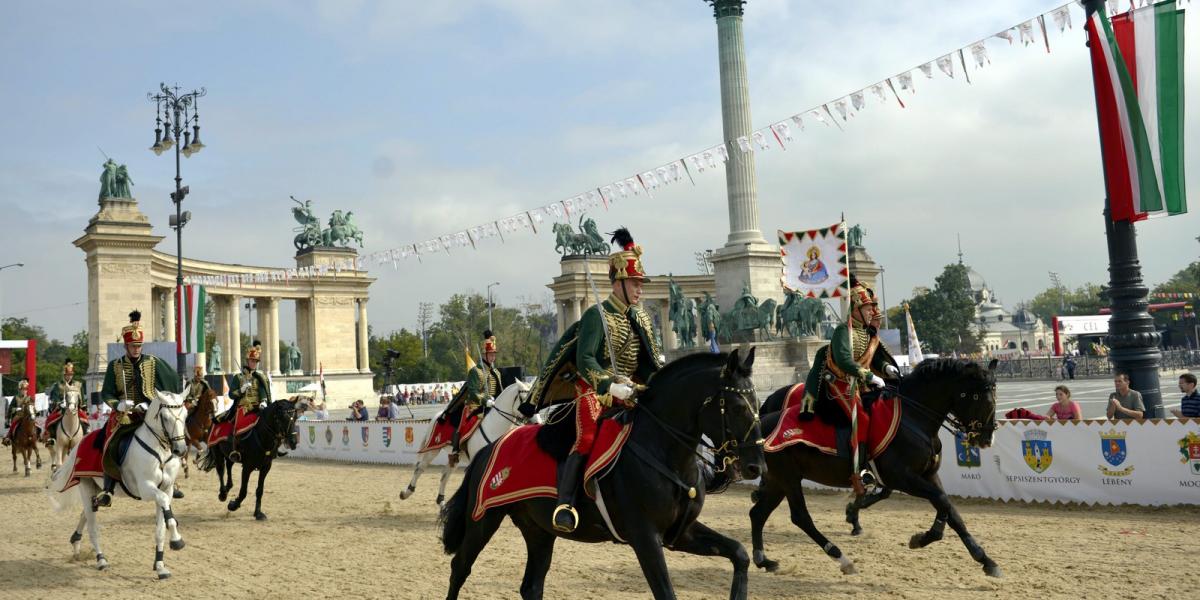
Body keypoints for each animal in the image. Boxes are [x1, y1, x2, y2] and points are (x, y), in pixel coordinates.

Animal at [46, 391, 189, 578]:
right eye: (165, 416)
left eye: (185, 415)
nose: (181, 449)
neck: (160, 451)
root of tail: (81, 443)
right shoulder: (146, 488)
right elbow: (164, 504)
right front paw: (177, 540)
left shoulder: (167, 489)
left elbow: (160, 529)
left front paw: (160, 566)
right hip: (86, 485)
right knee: (92, 525)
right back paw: (100, 559)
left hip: (97, 488)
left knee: (86, 513)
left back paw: (76, 543)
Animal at [398, 379, 540, 506]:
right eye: (525, 399)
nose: (538, 422)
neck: (493, 426)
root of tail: (437, 416)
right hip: (433, 449)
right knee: (420, 468)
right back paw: (406, 492)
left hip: (456, 456)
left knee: (445, 475)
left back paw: (442, 502)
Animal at [436, 348, 763, 600]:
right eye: (737, 406)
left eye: (758, 404)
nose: (755, 467)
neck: (663, 451)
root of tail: (490, 449)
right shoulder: (645, 538)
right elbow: (666, 593)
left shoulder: (681, 533)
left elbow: (740, 553)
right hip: (483, 521)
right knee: (459, 569)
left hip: (539, 531)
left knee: (531, 587)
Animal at [748, 357, 1003, 578]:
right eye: (979, 397)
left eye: (994, 394)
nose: (987, 438)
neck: (913, 418)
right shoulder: (902, 478)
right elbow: (943, 502)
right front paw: (930, 537)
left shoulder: (928, 475)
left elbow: (950, 510)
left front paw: (981, 557)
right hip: (789, 478)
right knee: (800, 517)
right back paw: (842, 558)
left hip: (779, 481)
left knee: (758, 514)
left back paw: (764, 560)